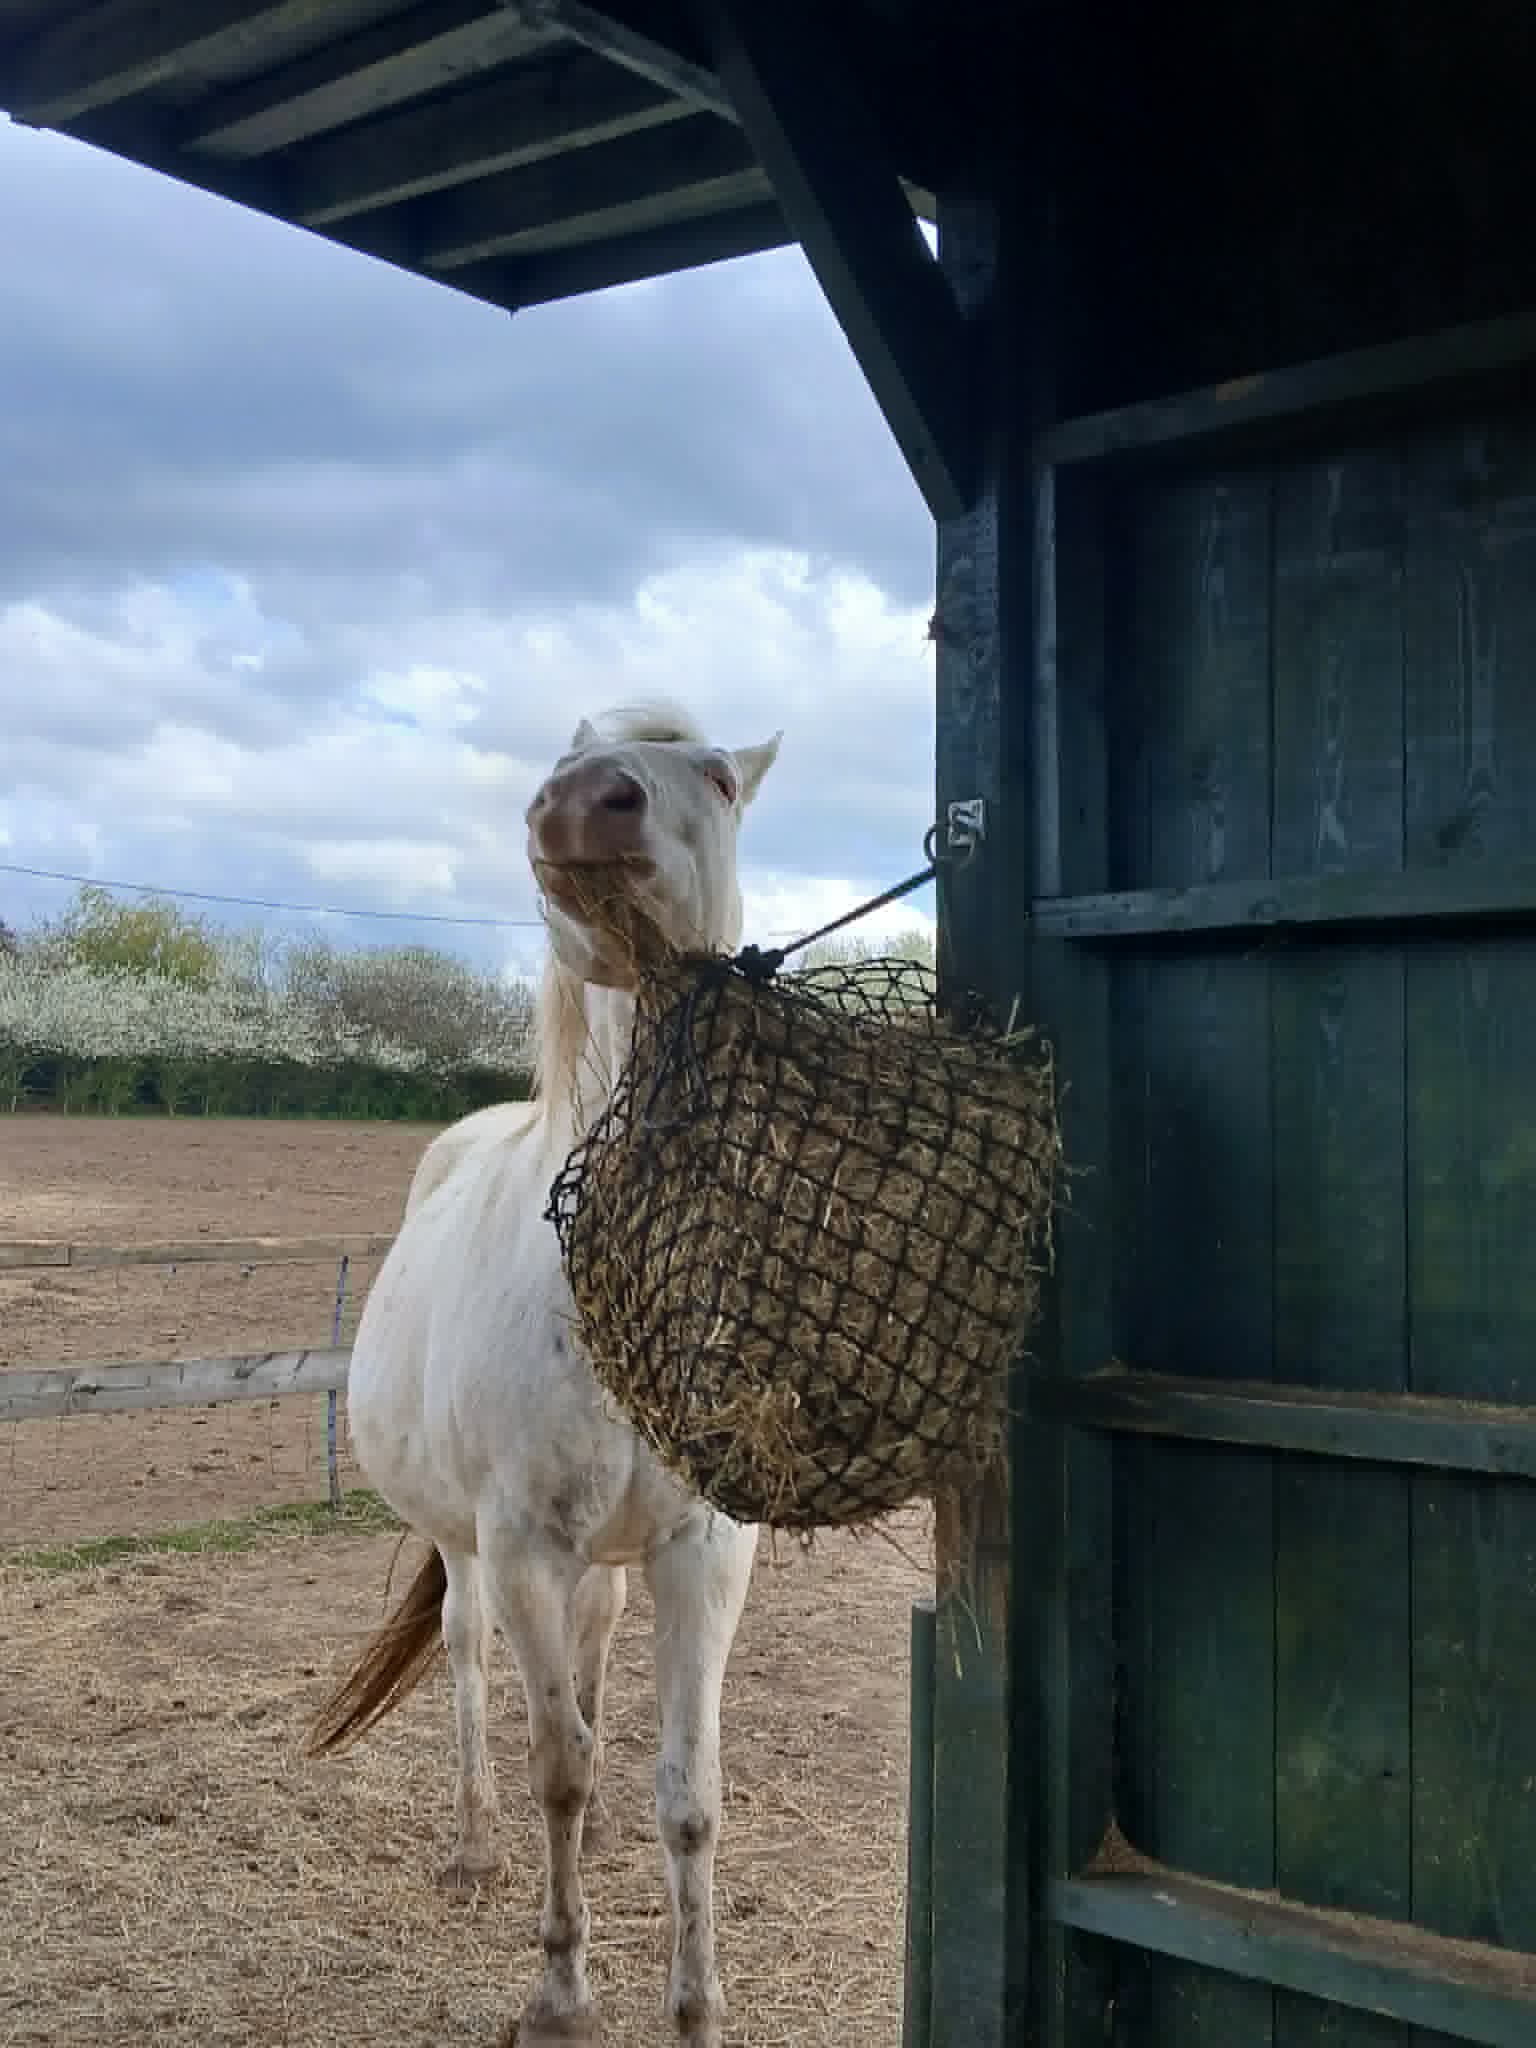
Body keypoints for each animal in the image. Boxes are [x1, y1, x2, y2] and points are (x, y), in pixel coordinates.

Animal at [306, 702, 782, 2047]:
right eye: (567, 766)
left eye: (718, 776)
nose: (580, 804)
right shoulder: (522, 1544)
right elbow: (553, 1766)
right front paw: (561, 1991)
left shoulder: (702, 1550)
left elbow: (691, 1792)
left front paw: (697, 2005)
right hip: (467, 1544)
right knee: (473, 1663)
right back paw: (474, 1845)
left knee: (595, 1650)